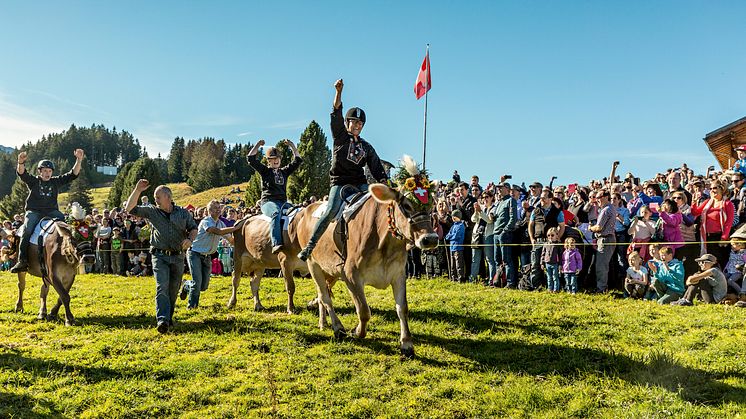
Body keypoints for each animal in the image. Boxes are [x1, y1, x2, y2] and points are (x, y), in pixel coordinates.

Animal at [290, 181, 436, 358]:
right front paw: (357, 331)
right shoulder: (350, 275)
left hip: (330, 270)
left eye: (431, 205)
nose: (431, 239)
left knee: (322, 293)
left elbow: (402, 308)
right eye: (407, 205)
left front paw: (406, 343)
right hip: (314, 264)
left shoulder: (398, 274)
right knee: (325, 297)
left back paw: (322, 322)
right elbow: (364, 310)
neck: (384, 242)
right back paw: (337, 327)